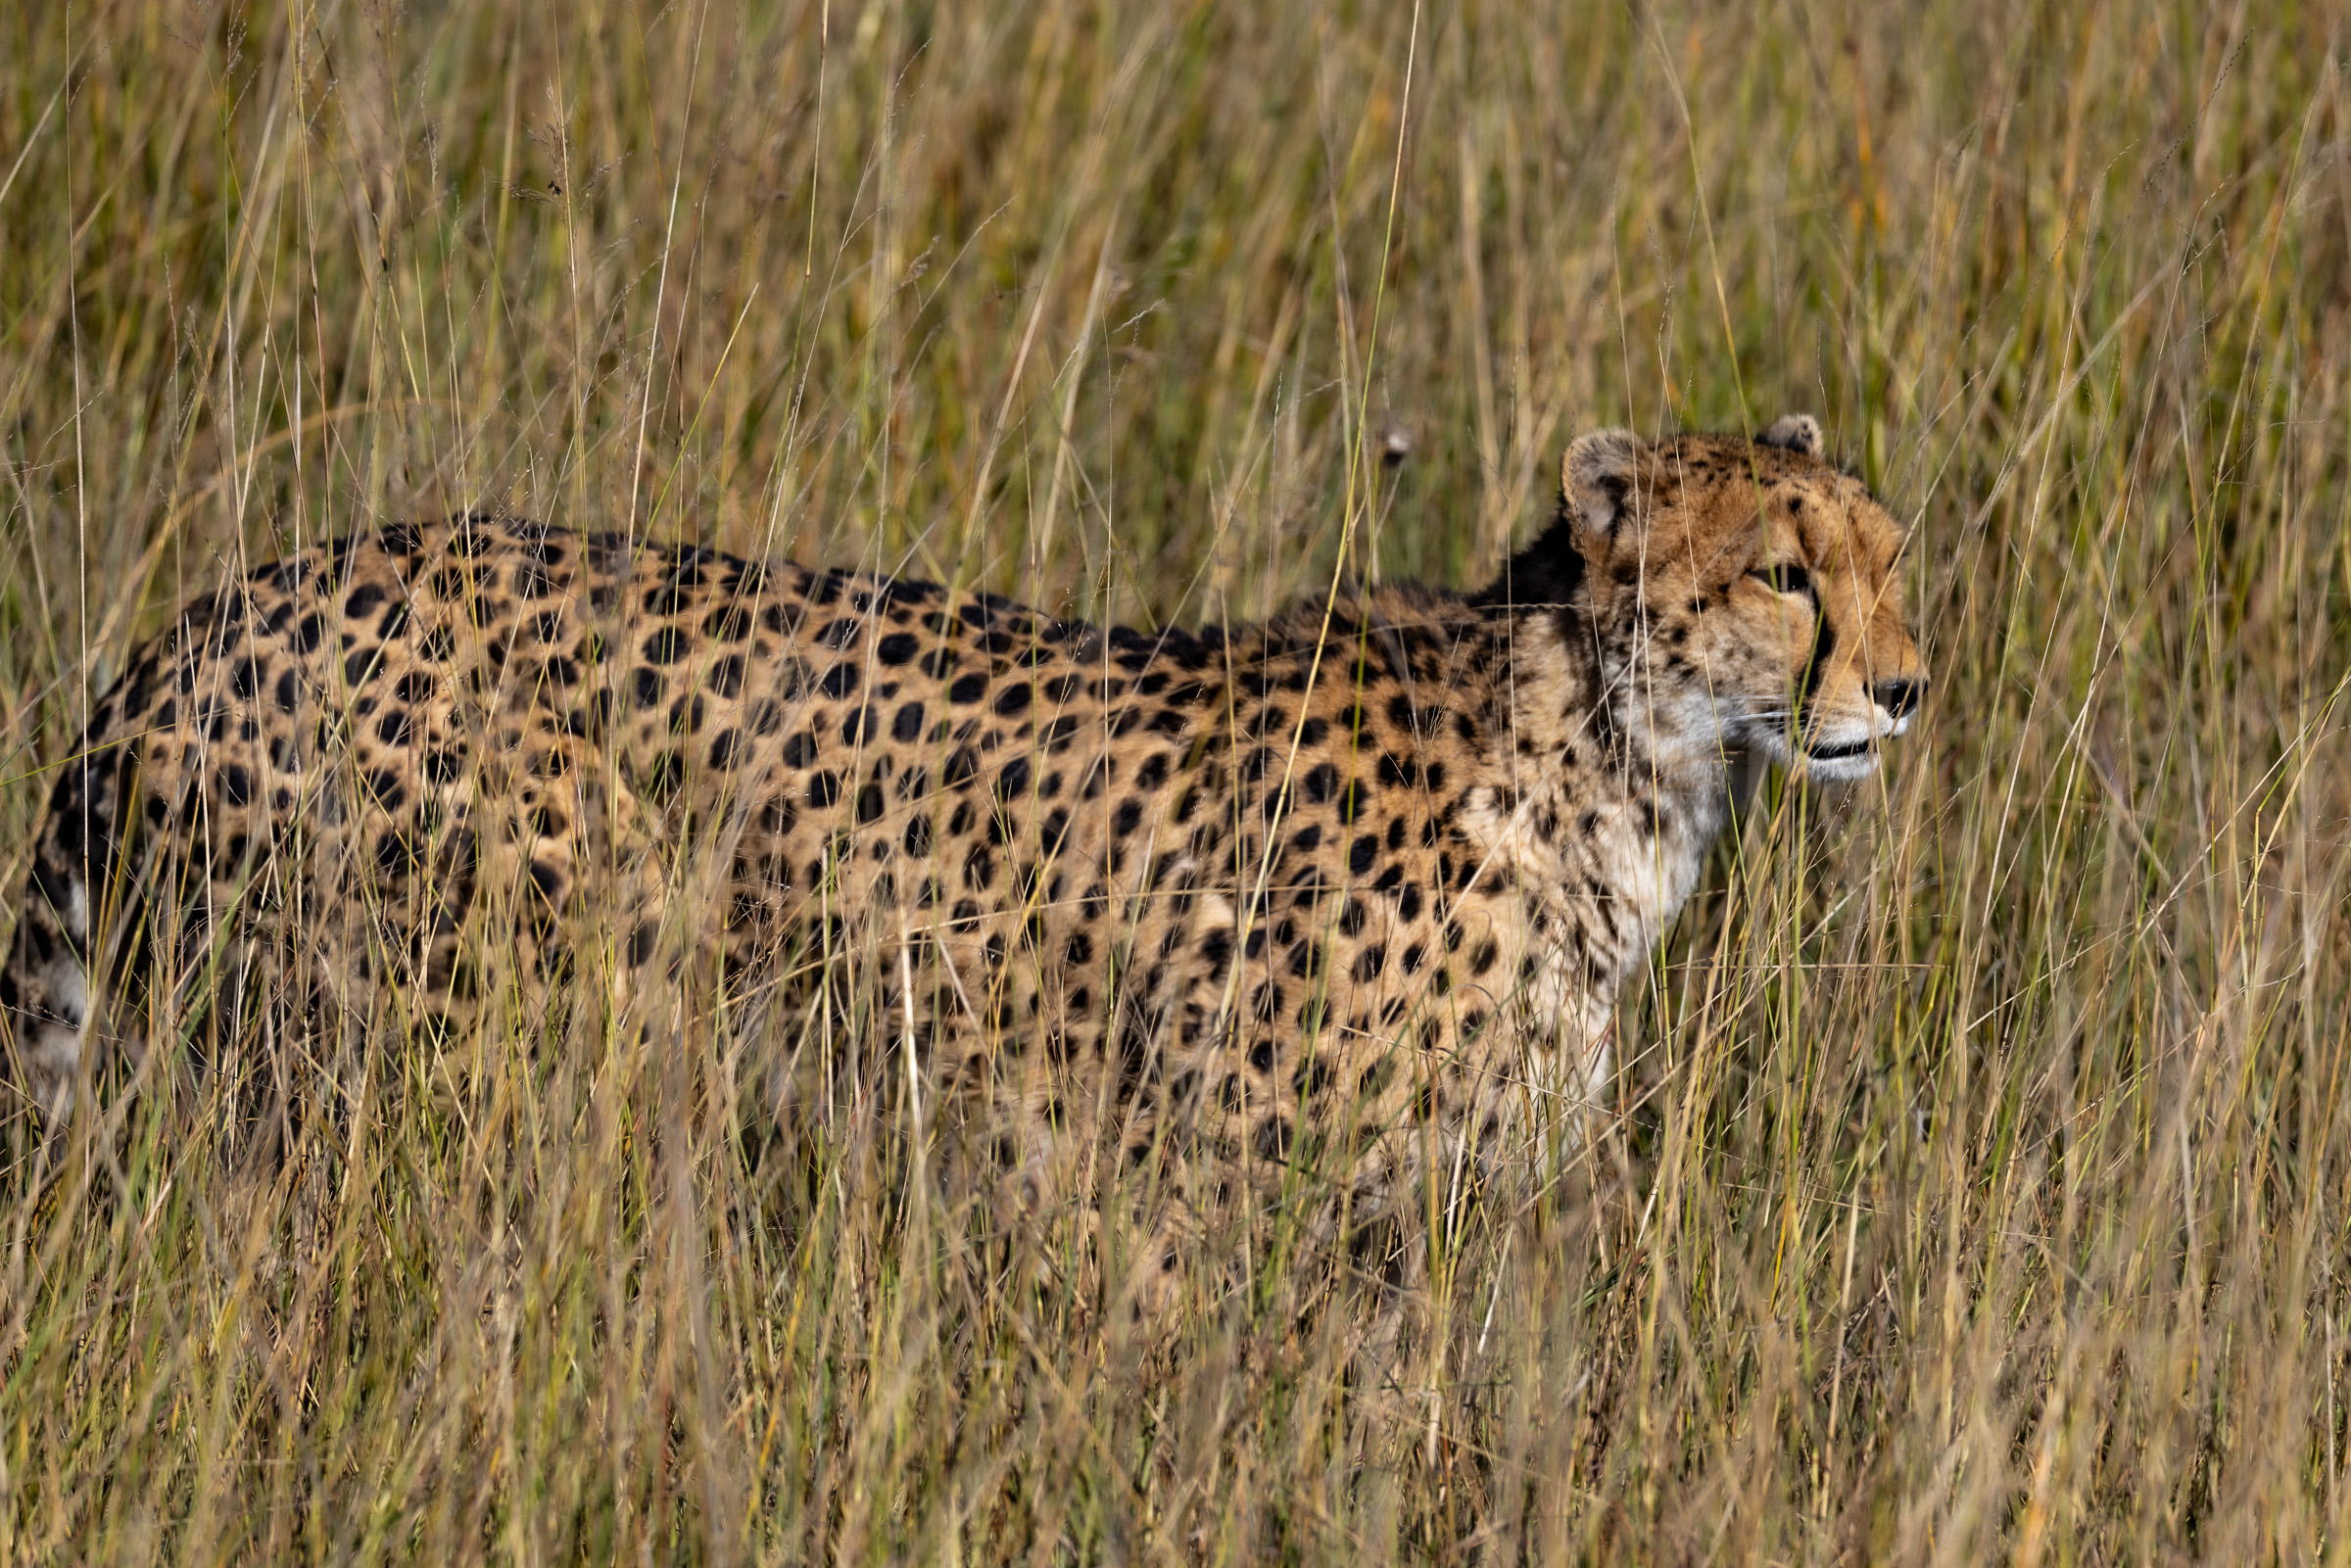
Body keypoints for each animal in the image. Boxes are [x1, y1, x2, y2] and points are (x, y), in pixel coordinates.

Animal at [1, 414, 1925, 1296]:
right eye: (1783, 573)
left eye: (1890, 556)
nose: (1904, 689)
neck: (1616, 757)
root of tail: (220, 608)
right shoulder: (1187, 1189)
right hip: (459, 1055)